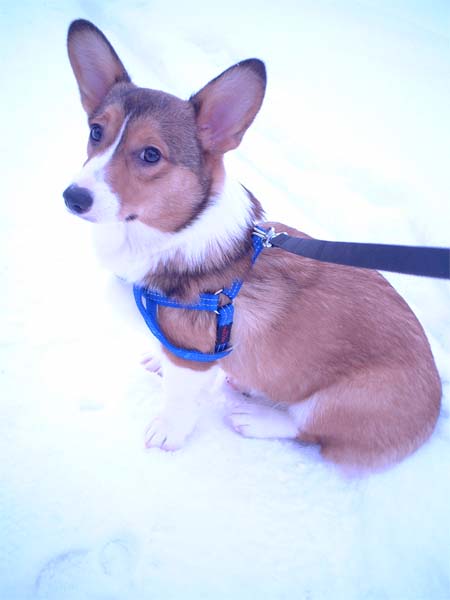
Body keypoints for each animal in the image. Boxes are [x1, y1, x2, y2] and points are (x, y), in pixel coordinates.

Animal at [64, 19, 441, 472]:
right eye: (95, 132)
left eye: (151, 154)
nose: (73, 197)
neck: (179, 233)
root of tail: (435, 414)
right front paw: (158, 359)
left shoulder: (195, 355)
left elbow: (179, 398)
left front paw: (167, 433)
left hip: (343, 400)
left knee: (304, 427)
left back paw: (255, 417)